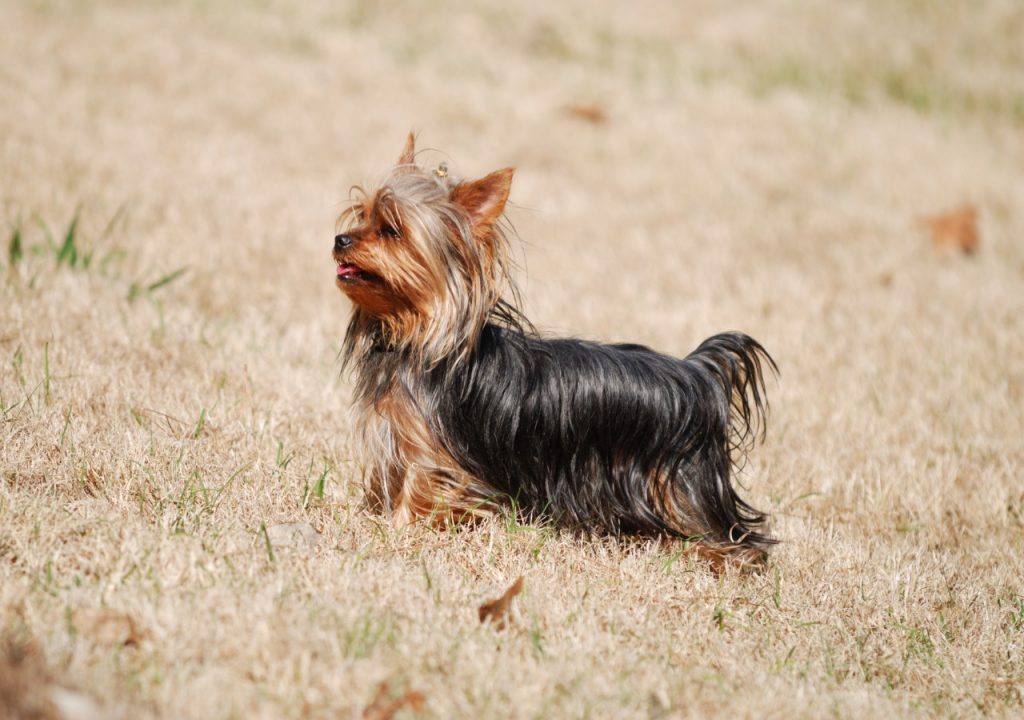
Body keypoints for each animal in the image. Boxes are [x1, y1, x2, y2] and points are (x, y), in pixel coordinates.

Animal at [335, 134, 774, 565]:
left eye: (392, 230)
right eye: (361, 215)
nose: (340, 239)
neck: (415, 334)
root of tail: (698, 372)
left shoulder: (432, 454)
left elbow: (425, 489)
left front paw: (400, 531)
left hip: (678, 482)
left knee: (729, 538)